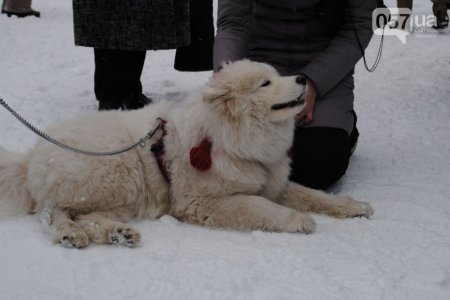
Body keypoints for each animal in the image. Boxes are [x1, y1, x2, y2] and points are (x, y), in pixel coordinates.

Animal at [0, 59, 372, 247]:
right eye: (265, 83)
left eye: (277, 74)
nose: (302, 78)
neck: (232, 140)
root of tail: (31, 157)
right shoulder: (202, 201)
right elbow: (258, 206)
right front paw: (296, 220)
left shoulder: (272, 181)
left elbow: (312, 194)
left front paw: (353, 206)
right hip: (114, 173)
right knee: (53, 212)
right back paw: (70, 234)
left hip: (124, 194)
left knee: (86, 215)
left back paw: (118, 234)